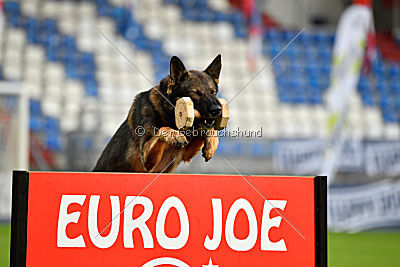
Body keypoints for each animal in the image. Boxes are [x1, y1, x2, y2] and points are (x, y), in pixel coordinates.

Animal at [94, 55, 222, 174]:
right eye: (195, 93)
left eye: (213, 92)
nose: (217, 110)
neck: (169, 114)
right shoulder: (146, 158)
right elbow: (162, 129)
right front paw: (174, 134)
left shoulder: (187, 153)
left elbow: (207, 129)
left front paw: (211, 143)